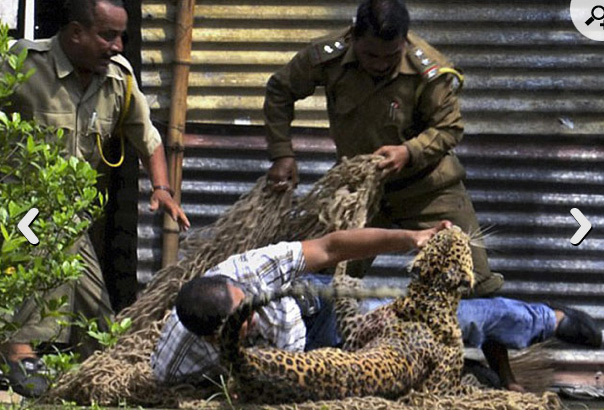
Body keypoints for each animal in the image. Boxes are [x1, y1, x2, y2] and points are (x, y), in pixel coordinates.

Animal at [219, 227, 474, 404]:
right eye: (457, 242)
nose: (455, 228)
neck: (430, 296)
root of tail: (246, 362)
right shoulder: (356, 329)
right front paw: (346, 280)